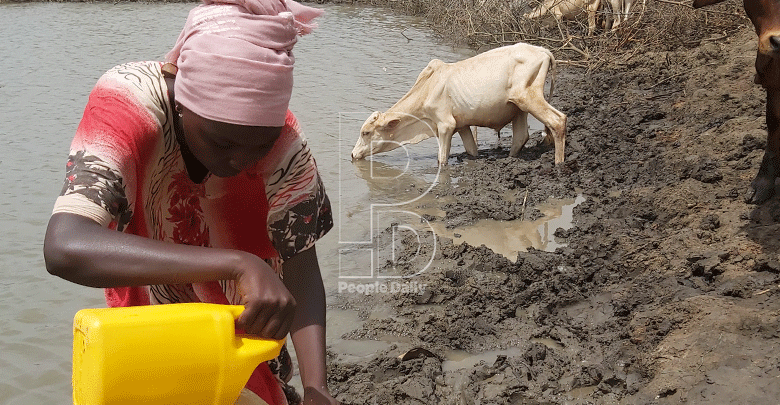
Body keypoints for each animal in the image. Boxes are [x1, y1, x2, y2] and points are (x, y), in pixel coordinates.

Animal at [354, 43, 568, 166]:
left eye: (366, 132)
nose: (353, 154)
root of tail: (542, 50)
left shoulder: (445, 125)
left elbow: (441, 159)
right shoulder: (462, 125)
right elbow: (471, 150)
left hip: (529, 99)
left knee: (558, 120)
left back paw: (559, 164)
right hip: (518, 108)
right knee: (521, 136)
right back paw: (511, 159)